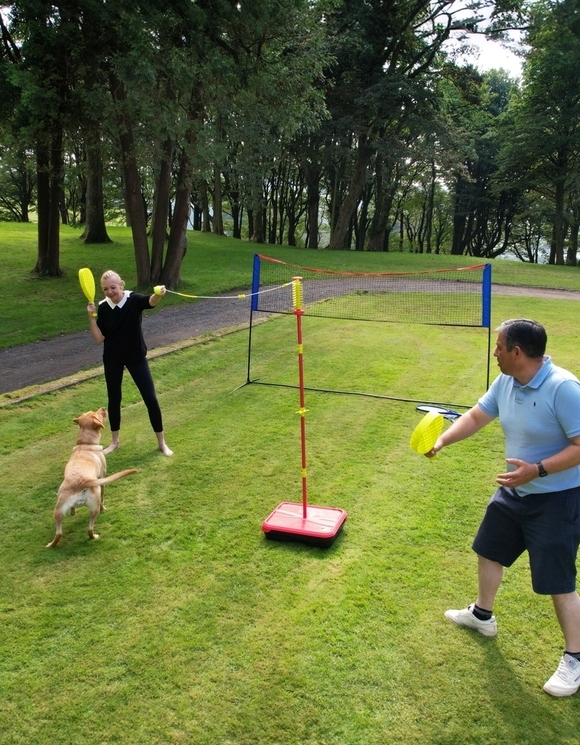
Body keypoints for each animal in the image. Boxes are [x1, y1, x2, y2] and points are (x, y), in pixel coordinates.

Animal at [47, 407, 137, 547]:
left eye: (91, 412)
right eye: (97, 414)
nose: (103, 408)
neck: (85, 444)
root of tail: (81, 482)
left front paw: (73, 512)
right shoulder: (102, 478)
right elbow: (103, 498)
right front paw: (105, 508)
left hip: (58, 511)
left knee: (59, 533)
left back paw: (51, 544)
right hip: (94, 507)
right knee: (90, 528)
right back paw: (94, 536)